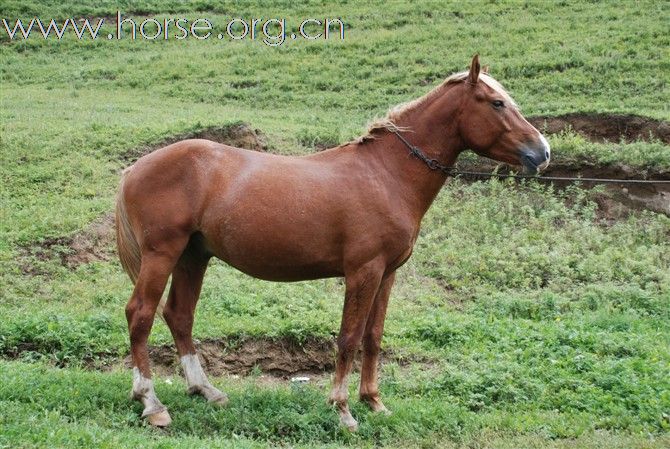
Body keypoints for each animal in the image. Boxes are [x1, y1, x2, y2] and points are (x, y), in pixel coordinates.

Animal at [115, 56, 552, 430]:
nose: (542, 152)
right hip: (163, 254)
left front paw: (373, 402)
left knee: (179, 315)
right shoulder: (363, 272)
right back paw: (152, 403)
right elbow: (348, 338)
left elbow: (373, 338)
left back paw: (205, 390)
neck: (385, 174)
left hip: (194, 256)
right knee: (141, 315)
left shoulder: (387, 274)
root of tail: (136, 168)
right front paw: (342, 410)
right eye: (497, 103)